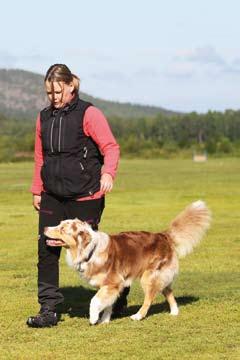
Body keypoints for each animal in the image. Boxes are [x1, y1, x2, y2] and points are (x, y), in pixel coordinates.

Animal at [44, 201, 210, 324]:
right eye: (59, 224)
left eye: (62, 229)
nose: (44, 227)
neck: (88, 249)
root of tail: (163, 235)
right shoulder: (110, 285)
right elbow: (108, 304)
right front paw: (104, 320)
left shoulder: (113, 281)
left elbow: (94, 301)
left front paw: (94, 318)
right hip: (160, 275)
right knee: (168, 290)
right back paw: (174, 312)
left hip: (149, 276)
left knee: (150, 298)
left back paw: (138, 316)